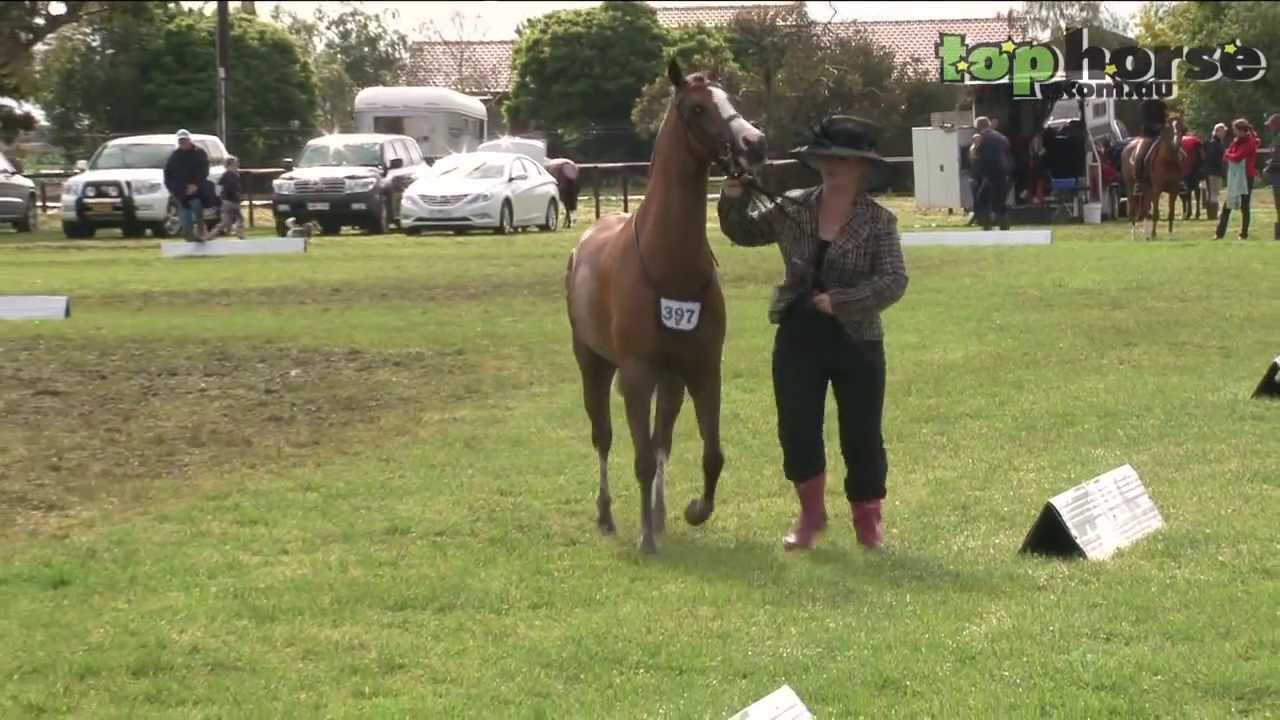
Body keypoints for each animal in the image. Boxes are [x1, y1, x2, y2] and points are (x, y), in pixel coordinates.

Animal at [564, 59, 766, 554]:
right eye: (697, 108)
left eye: (732, 98)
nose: (755, 144)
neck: (669, 260)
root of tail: (583, 242)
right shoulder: (636, 375)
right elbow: (638, 457)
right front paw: (645, 540)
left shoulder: (703, 370)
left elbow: (710, 454)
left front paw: (694, 510)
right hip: (594, 366)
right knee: (604, 438)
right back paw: (608, 516)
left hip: (671, 380)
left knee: (662, 441)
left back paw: (657, 515)